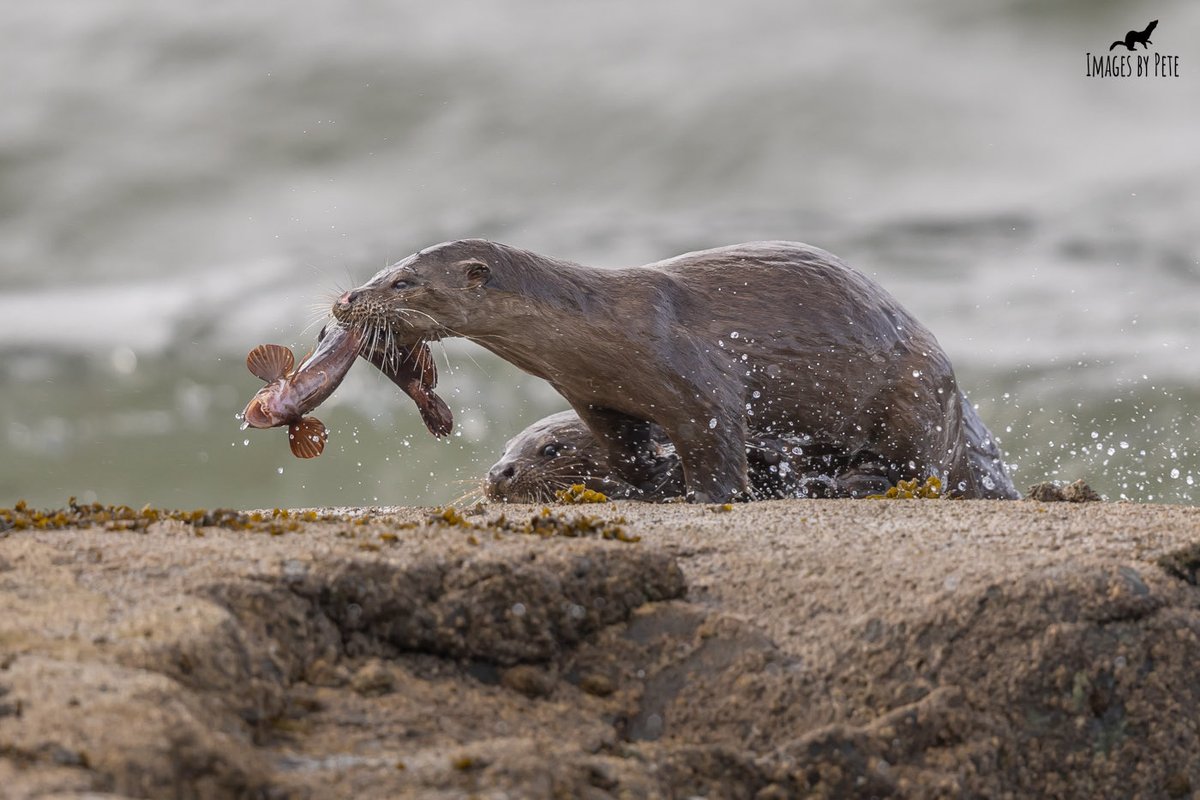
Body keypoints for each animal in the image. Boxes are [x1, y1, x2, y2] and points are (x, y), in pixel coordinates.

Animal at [331, 239, 1022, 501]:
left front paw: (704, 496)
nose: (346, 298)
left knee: (923, 470)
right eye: (384, 270)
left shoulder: (698, 383)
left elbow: (715, 443)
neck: (604, 329)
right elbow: (627, 447)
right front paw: (637, 481)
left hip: (913, 397)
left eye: (402, 282)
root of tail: (956, 394)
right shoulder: (594, 395)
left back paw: (853, 481)